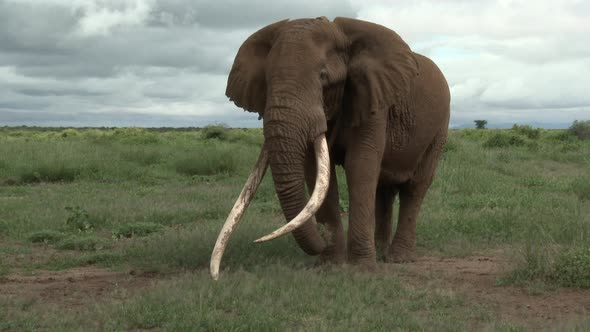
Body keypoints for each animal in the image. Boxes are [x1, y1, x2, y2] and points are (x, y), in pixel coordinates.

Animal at [210, 16, 450, 280]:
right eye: (266, 80)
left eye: (323, 76)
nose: (322, 237)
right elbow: (317, 171)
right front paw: (331, 265)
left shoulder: (374, 101)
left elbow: (360, 165)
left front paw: (361, 269)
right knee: (383, 190)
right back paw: (381, 252)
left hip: (439, 129)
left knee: (415, 187)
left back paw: (398, 258)